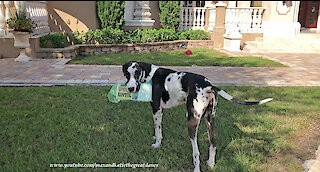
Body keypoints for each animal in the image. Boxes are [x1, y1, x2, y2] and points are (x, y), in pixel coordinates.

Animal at [121, 61, 272, 171]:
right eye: (127, 75)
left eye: (137, 73)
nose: (130, 88)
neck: (150, 74)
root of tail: (208, 85)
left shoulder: (157, 110)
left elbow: (158, 131)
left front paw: (157, 144)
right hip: (210, 121)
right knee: (213, 145)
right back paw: (210, 163)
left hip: (192, 122)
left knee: (196, 152)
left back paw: (197, 168)